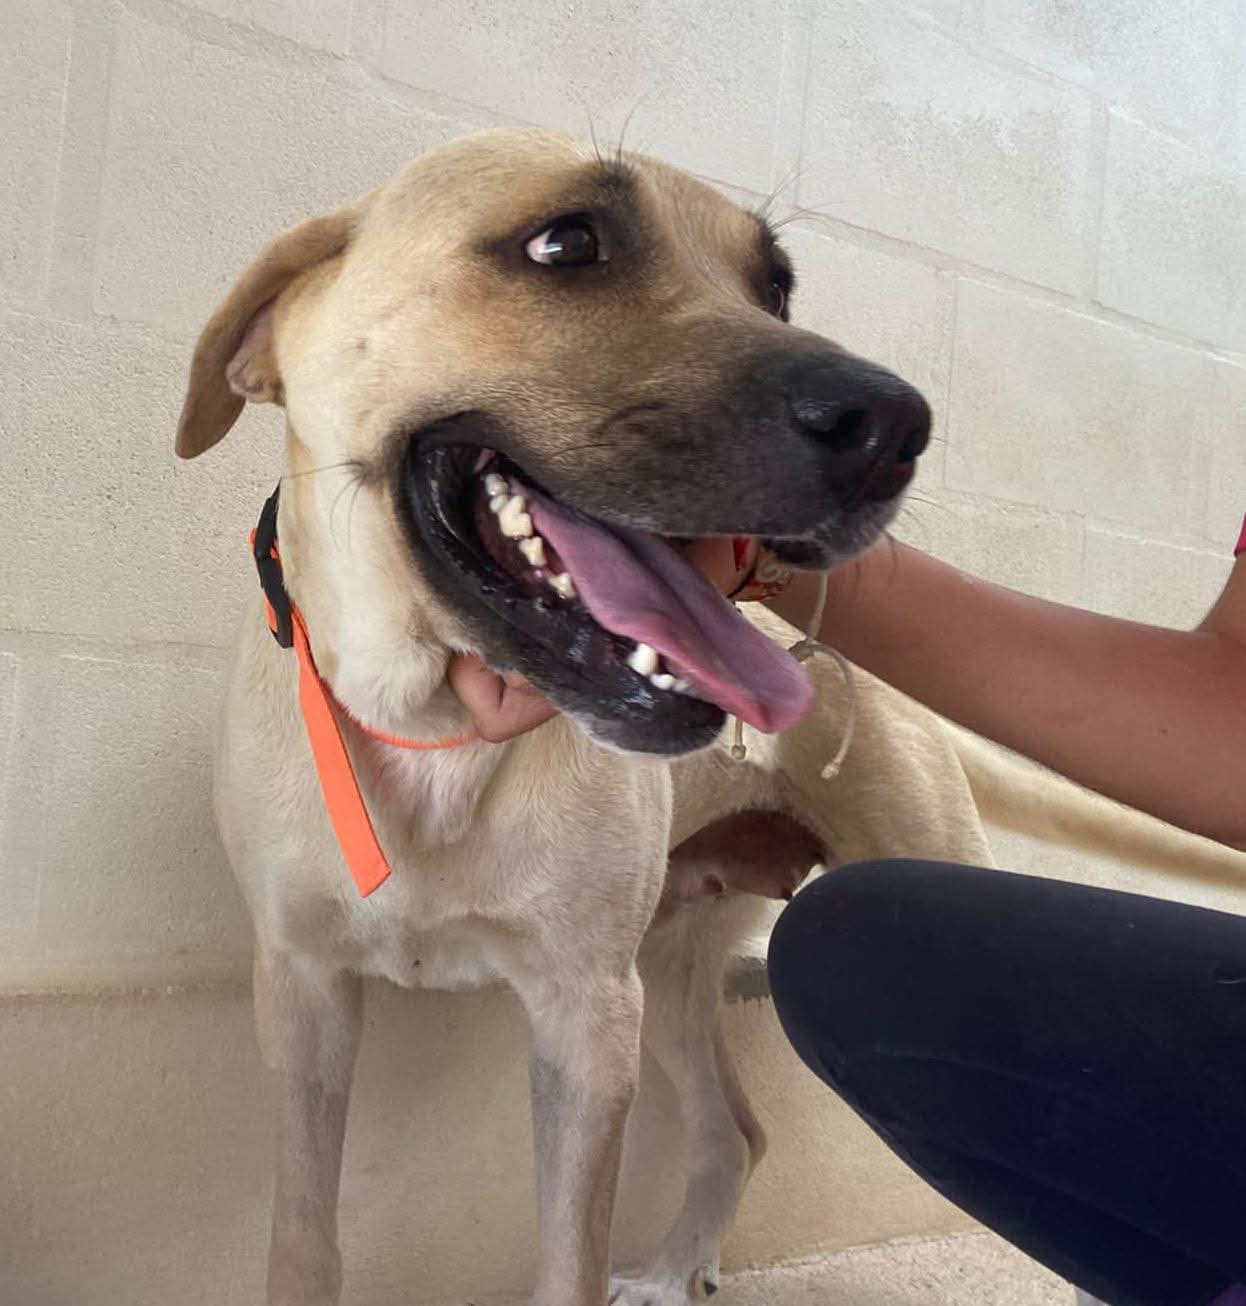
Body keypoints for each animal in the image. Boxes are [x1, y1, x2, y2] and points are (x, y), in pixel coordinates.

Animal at [175, 128, 1245, 1306]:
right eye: (566, 242)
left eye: (774, 285)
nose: (895, 428)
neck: (435, 723)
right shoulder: (303, 995)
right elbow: (303, 1238)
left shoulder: (586, 1020)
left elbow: (566, 1258)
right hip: (671, 973)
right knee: (736, 1132)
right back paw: (677, 1264)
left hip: (823, 913)